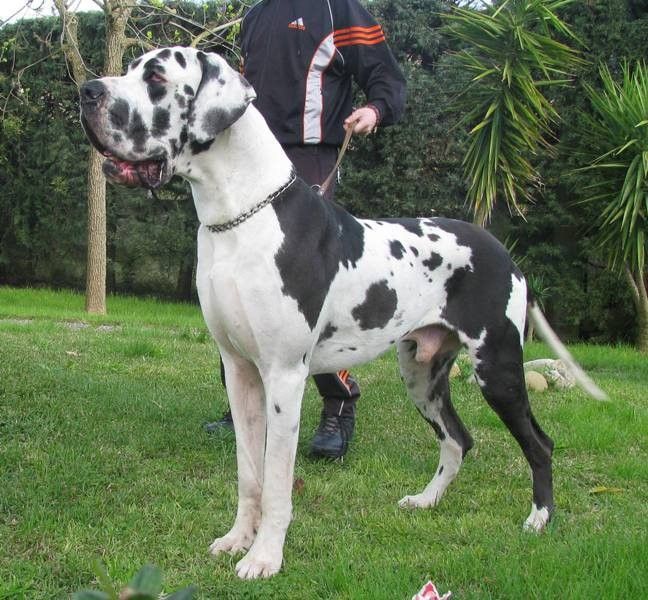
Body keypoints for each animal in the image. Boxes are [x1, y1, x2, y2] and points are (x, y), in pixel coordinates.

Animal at [79, 47, 606, 579]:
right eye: (131, 68)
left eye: (157, 77)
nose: (87, 90)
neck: (241, 219)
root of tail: (504, 252)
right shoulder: (241, 373)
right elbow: (248, 473)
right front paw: (237, 539)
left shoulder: (284, 377)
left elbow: (276, 481)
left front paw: (265, 557)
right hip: (421, 374)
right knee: (458, 440)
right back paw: (426, 500)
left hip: (497, 370)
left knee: (540, 444)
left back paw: (539, 518)